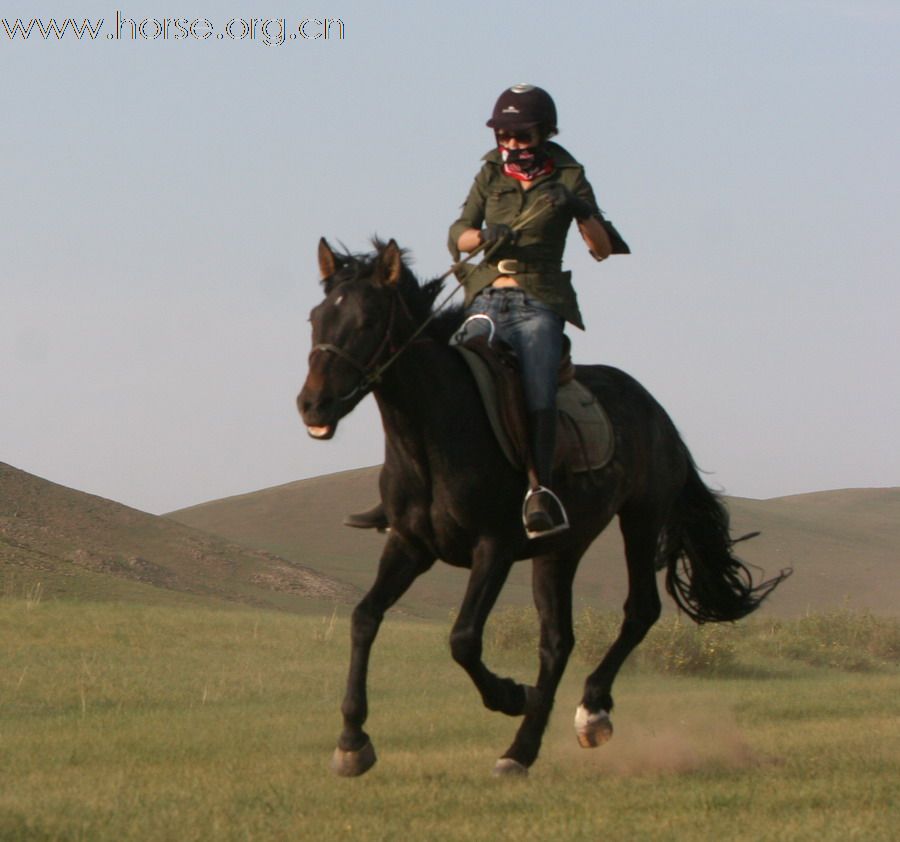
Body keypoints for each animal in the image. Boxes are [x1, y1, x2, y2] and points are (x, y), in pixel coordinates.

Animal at [298, 236, 788, 776]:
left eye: (367, 321)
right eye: (316, 318)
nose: (312, 406)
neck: (433, 435)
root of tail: (655, 411)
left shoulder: (493, 548)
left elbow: (463, 638)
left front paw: (511, 695)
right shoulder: (410, 545)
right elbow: (364, 618)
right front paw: (352, 741)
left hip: (640, 519)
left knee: (639, 610)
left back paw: (588, 712)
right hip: (559, 551)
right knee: (557, 642)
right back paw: (522, 749)